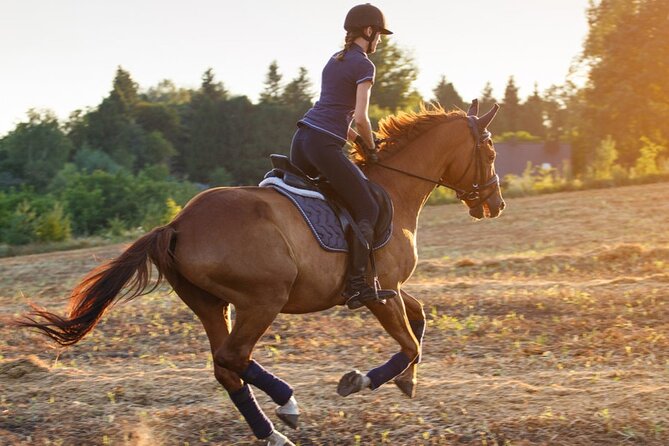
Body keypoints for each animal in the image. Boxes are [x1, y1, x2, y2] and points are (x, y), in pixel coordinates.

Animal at [17, 100, 505, 446]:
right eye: (490, 149)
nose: (495, 204)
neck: (394, 190)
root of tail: (176, 224)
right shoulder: (378, 292)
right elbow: (410, 344)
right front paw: (361, 380)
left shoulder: (391, 291)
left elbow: (418, 323)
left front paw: (406, 381)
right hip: (263, 299)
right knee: (233, 357)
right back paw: (286, 403)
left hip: (213, 305)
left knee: (225, 366)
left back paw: (271, 432)